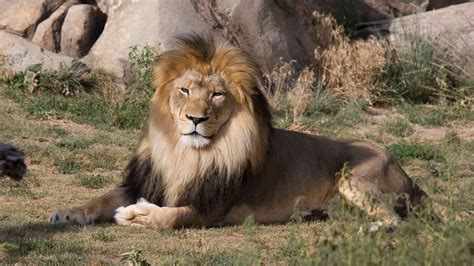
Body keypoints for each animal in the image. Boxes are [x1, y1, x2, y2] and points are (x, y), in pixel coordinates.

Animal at [49, 34, 444, 231]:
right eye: (184, 91)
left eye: (217, 95)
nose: (195, 118)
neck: (185, 154)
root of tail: (409, 176)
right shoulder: (146, 179)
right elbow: (100, 198)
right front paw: (66, 214)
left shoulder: (211, 208)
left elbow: (171, 216)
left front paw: (137, 215)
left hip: (354, 179)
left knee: (399, 223)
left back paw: (369, 231)